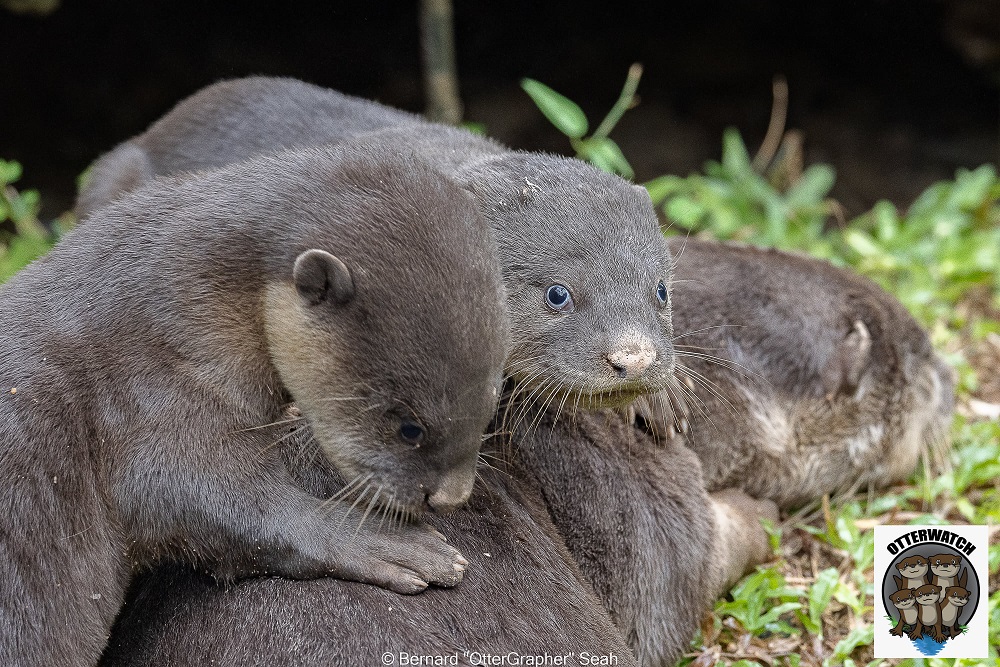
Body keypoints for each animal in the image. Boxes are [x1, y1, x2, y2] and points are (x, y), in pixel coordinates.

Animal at [0, 141, 511, 665]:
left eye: (492, 401)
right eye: (410, 427)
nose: (451, 497)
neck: (179, 303)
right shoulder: (148, 389)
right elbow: (200, 496)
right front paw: (382, 541)